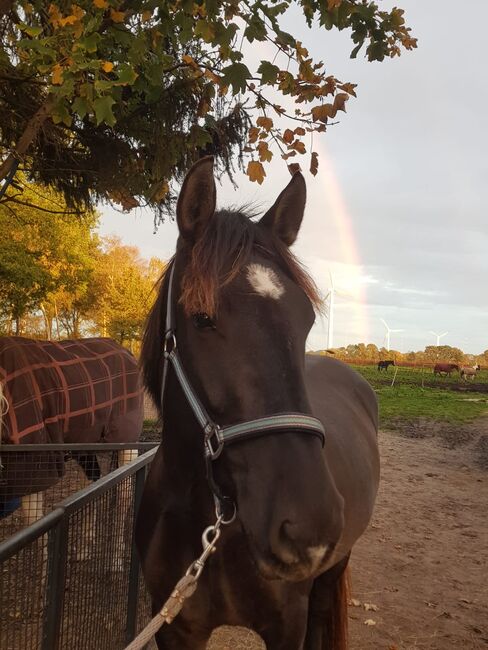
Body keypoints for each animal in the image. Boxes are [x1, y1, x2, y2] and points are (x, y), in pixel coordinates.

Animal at [0, 336, 143, 524]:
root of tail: (126, 352)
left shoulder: (34, 464)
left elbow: (34, 520)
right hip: (85, 444)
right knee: (91, 487)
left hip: (127, 441)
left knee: (123, 493)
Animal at [135, 158, 380, 648]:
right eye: (202, 317)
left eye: (306, 320)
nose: (307, 524)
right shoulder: (173, 626)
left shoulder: (287, 625)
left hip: (334, 568)